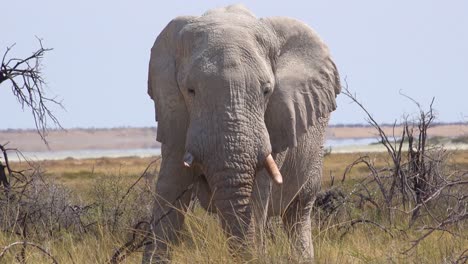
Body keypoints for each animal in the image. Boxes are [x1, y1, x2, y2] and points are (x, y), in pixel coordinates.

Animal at [143, 4, 340, 264]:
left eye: (266, 91)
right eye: (190, 91)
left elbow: (256, 196)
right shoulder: (175, 116)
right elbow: (169, 188)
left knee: (298, 213)